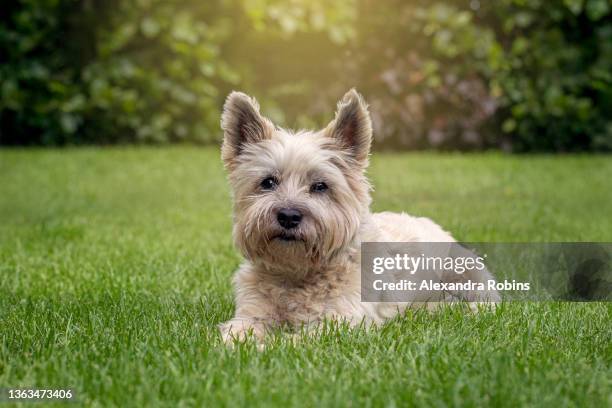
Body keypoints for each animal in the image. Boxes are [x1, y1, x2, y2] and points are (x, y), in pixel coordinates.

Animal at [219, 90, 498, 344]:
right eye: (268, 182)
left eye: (320, 186)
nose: (288, 216)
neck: (298, 272)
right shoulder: (251, 312)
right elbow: (238, 331)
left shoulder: (341, 320)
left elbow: (297, 341)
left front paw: (269, 346)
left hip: (465, 272)